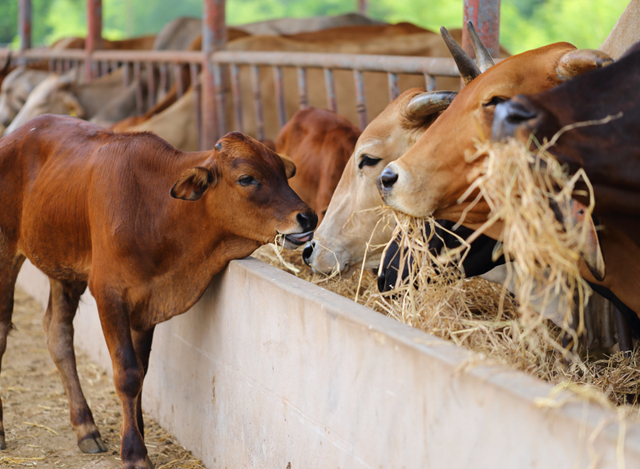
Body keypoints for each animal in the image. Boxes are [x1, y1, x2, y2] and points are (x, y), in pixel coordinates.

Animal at [0, 114, 316, 468]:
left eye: (283, 173)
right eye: (247, 178)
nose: (308, 217)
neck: (157, 210)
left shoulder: (148, 302)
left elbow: (143, 370)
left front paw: (137, 430)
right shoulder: (109, 294)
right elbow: (127, 373)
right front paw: (134, 452)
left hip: (63, 270)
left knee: (58, 335)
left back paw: (85, 427)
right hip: (6, 252)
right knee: (3, 332)